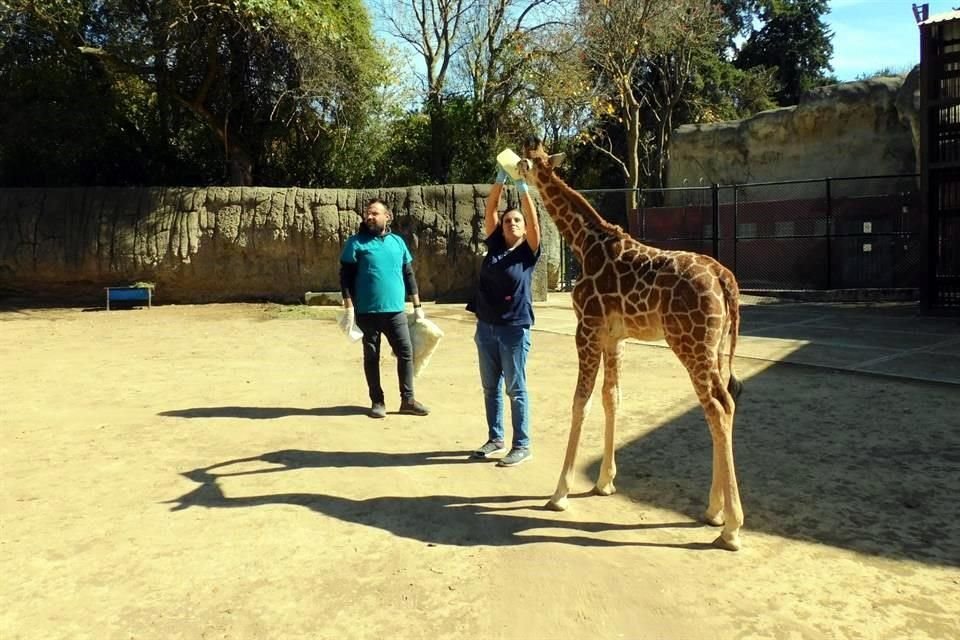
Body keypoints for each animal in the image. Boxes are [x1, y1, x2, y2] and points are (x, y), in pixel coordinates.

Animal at [512, 144, 748, 552]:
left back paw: (731, 528)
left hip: (690, 344)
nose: (510, 171)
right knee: (726, 405)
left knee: (717, 409)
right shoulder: (614, 337)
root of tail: (725, 279)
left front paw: (560, 493)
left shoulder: (587, 328)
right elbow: (612, 397)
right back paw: (714, 511)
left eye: (526, 161)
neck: (584, 243)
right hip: (714, 348)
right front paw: (604, 482)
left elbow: (581, 401)